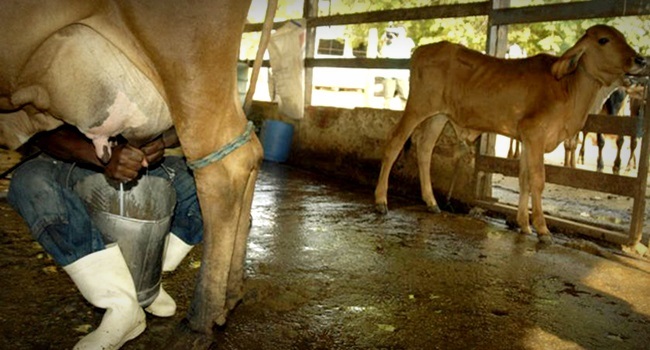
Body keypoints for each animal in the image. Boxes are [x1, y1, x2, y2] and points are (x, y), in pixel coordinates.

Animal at [374, 25, 644, 243]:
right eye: (604, 40)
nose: (640, 60)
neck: (569, 87)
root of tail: (422, 50)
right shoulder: (535, 135)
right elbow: (537, 180)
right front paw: (542, 229)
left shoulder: (526, 139)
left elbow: (524, 179)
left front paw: (523, 224)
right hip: (417, 107)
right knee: (395, 143)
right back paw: (381, 201)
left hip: (438, 116)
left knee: (425, 148)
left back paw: (431, 202)